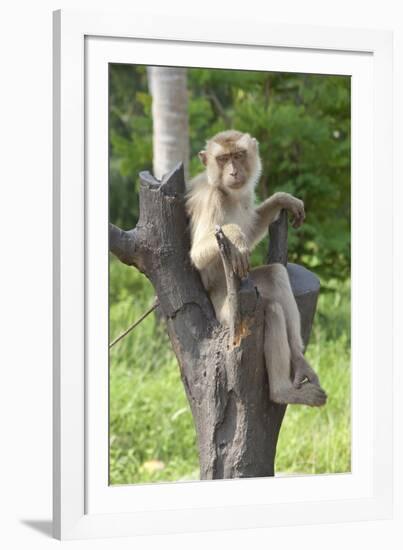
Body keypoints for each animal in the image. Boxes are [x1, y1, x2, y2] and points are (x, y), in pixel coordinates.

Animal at [186, 132, 328, 408]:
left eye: (239, 155)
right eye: (223, 159)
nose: (233, 171)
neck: (228, 194)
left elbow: (252, 231)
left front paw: (282, 199)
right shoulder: (212, 200)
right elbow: (197, 254)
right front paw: (235, 236)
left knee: (275, 275)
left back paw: (299, 361)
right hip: (228, 313)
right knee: (271, 310)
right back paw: (282, 392)